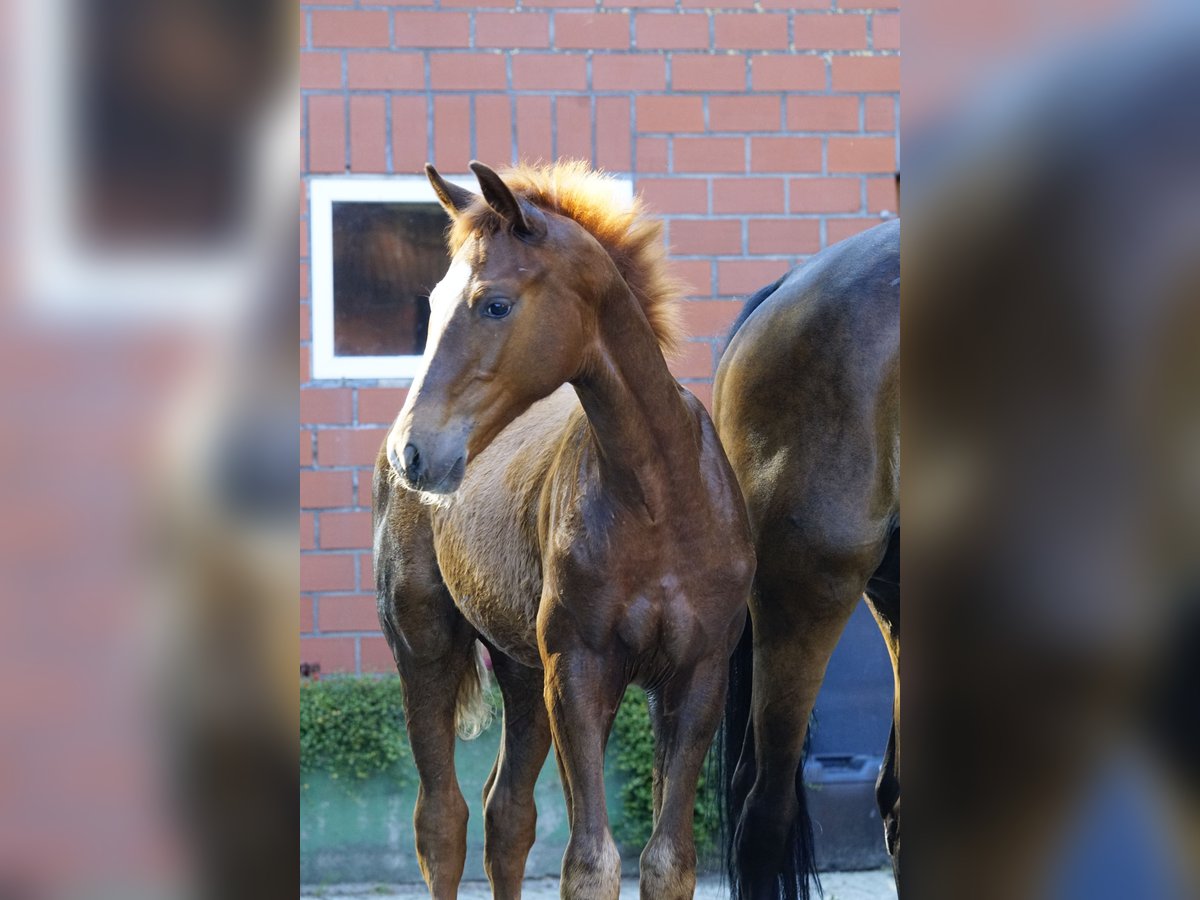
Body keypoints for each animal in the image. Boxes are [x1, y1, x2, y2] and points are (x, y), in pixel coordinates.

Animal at [369, 162, 753, 900]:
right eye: (433, 303)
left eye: (494, 304)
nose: (414, 453)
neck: (659, 498)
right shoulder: (578, 669)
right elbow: (591, 863)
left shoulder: (698, 677)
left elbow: (667, 861)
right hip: (424, 645)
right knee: (442, 821)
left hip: (521, 668)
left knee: (506, 815)